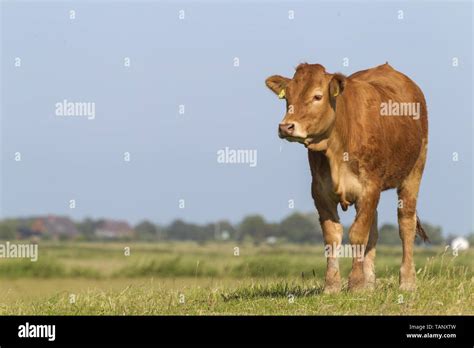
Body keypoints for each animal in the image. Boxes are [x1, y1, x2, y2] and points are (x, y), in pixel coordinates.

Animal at [266, 63, 430, 294]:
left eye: (317, 96)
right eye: (287, 96)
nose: (285, 127)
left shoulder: (369, 188)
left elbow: (358, 234)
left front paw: (356, 283)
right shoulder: (320, 192)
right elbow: (333, 236)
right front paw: (332, 285)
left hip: (414, 171)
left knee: (406, 224)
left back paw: (407, 281)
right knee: (374, 230)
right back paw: (371, 282)